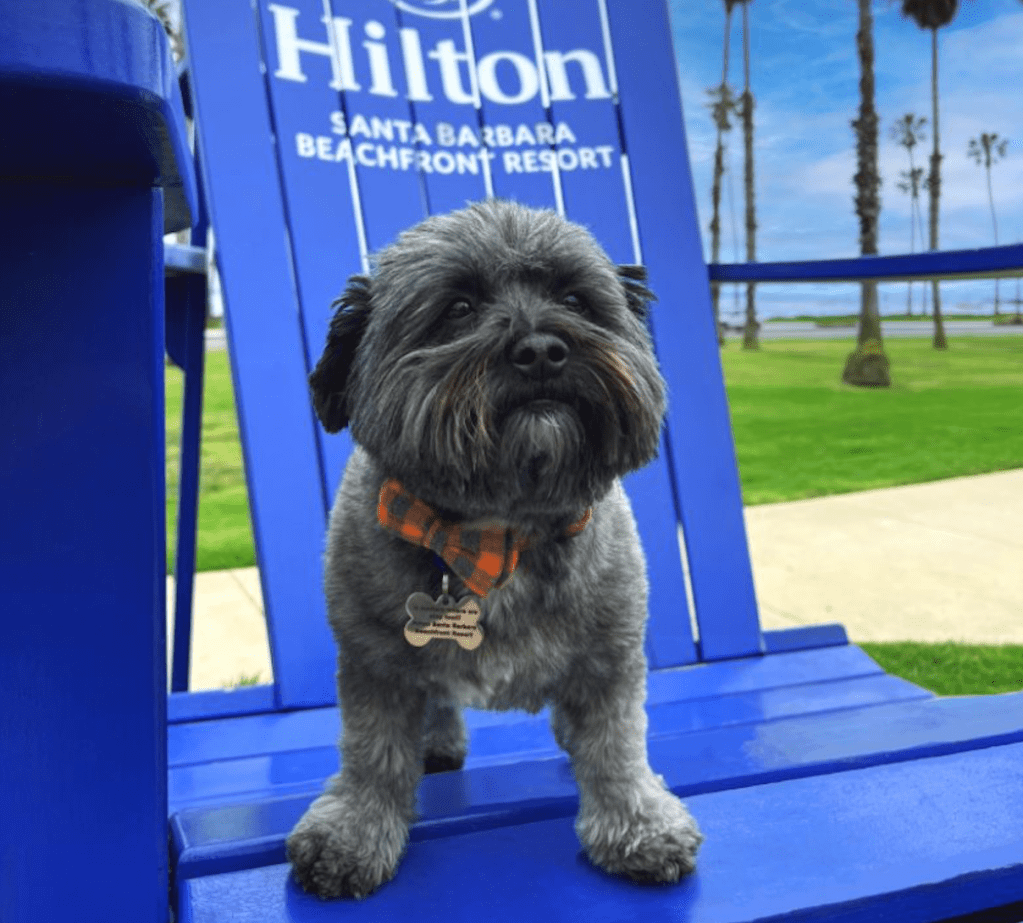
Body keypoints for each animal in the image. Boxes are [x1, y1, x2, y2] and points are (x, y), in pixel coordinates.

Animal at [288, 198, 703, 900]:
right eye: (457, 307)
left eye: (575, 298)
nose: (541, 350)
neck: (497, 534)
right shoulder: (374, 664)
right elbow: (373, 753)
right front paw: (354, 830)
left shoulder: (612, 658)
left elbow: (616, 746)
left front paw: (637, 824)